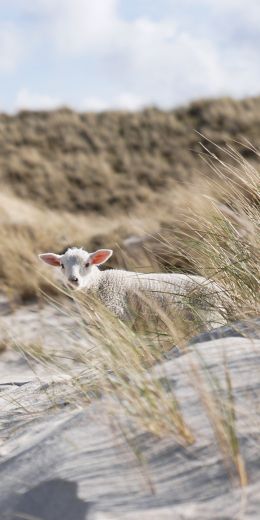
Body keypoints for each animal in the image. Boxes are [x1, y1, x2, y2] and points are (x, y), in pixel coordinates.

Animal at [38, 248, 228, 330]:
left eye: (87, 264)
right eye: (61, 265)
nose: (73, 280)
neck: (99, 284)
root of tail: (225, 291)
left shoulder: (121, 315)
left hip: (210, 316)